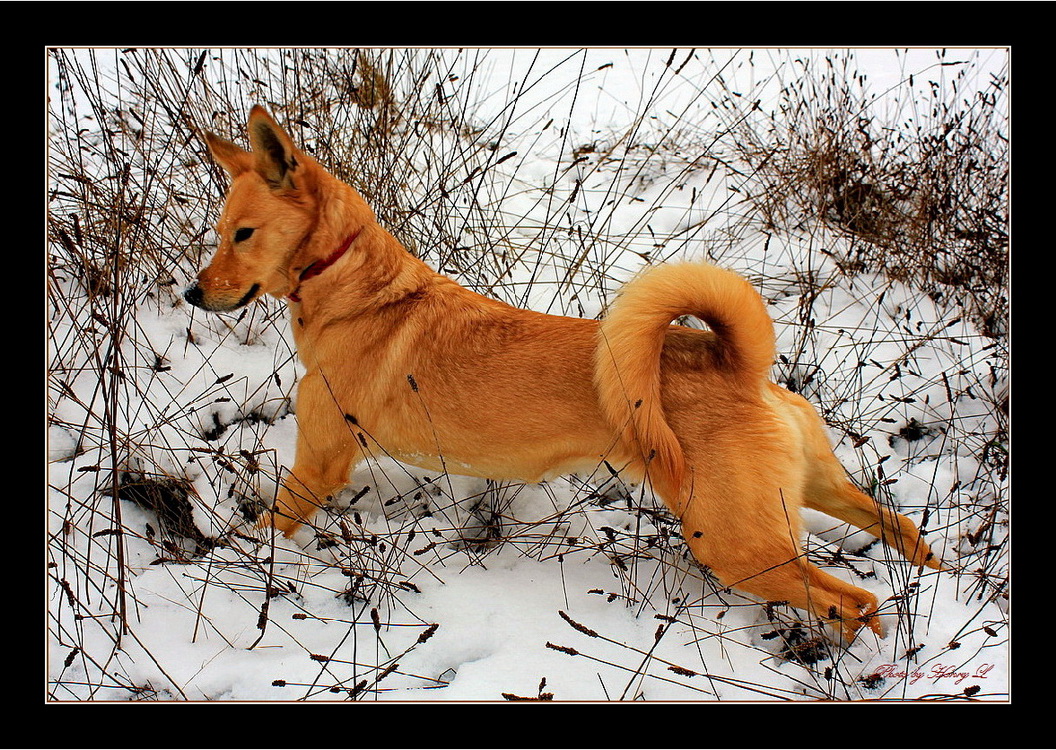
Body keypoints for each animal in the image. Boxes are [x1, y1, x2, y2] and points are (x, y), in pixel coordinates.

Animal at [185, 105, 946, 642]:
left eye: (243, 234)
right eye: (220, 233)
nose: (193, 294)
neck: (357, 291)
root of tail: (735, 361)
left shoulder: (316, 465)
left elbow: (267, 531)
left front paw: (228, 564)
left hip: (736, 542)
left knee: (853, 598)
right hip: (807, 491)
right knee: (903, 536)